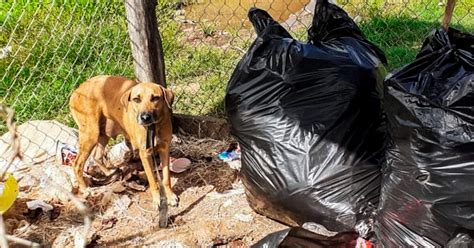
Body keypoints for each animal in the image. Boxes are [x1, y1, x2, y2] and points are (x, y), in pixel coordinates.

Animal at [71, 75, 180, 207]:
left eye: (155, 98)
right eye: (136, 99)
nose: (145, 117)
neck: (153, 128)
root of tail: (77, 90)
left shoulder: (165, 149)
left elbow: (166, 178)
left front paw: (170, 196)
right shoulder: (145, 154)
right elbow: (152, 180)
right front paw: (157, 200)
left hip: (103, 134)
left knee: (97, 156)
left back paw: (109, 172)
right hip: (90, 135)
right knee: (77, 164)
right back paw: (85, 189)